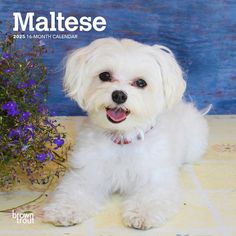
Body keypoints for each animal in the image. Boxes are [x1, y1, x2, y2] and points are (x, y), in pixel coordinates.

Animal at [42, 37, 208, 230]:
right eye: (105, 76)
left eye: (141, 83)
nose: (119, 95)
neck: (122, 138)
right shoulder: (88, 172)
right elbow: (76, 191)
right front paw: (65, 210)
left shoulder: (155, 178)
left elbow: (150, 196)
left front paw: (142, 214)